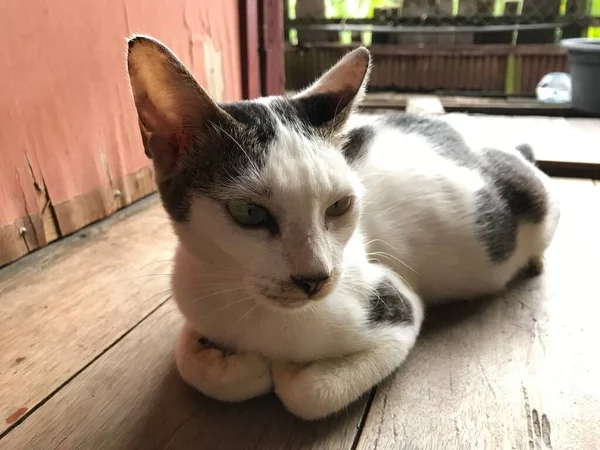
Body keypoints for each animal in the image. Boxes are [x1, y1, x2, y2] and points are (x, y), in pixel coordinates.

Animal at [127, 36, 564, 422]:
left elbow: (307, 393)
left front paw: (283, 370)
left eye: (339, 205)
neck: (251, 310)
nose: (315, 278)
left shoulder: (399, 306)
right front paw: (230, 363)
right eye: (248, 212)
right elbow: (188, 361)